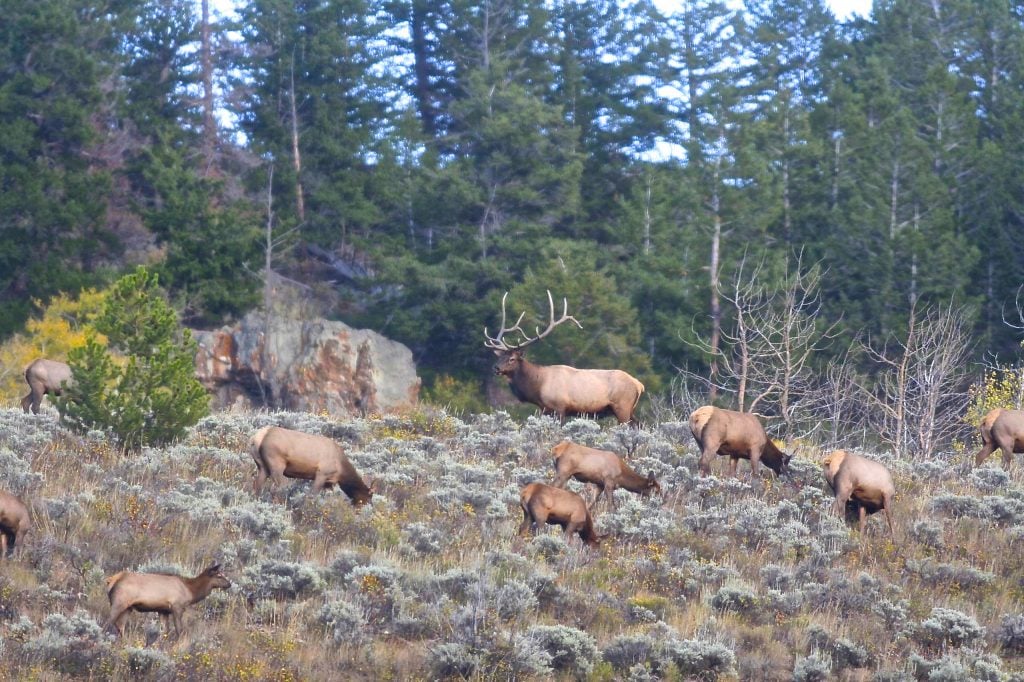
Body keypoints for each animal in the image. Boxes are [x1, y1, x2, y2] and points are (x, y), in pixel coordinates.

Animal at [102, 561, 231, 634]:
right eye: (219, 575)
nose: (229, 584)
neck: (190, 591)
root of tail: (112, 580)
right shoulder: (177, 607)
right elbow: (179, 631)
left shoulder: (163, 611)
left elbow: (164, 631)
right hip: (119, 602)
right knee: (108, 622)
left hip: (128, 607)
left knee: (120, 626)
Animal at [247, 425, 376, 503]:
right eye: (369, 496)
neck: (341, 468)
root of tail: (258, 438)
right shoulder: (322, 474)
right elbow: (311, 495)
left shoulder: (329, 483)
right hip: (277, 465)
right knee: (279, 487)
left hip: (262, 466)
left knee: (257, 485)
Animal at [483, 288, 643, 421]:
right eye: (499, 356)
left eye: (512, 359)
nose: (495, 368)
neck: (538, 387)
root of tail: (639, 385)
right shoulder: (545, 410)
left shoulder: (559, 408)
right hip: (629, 410)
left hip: (622, 407)